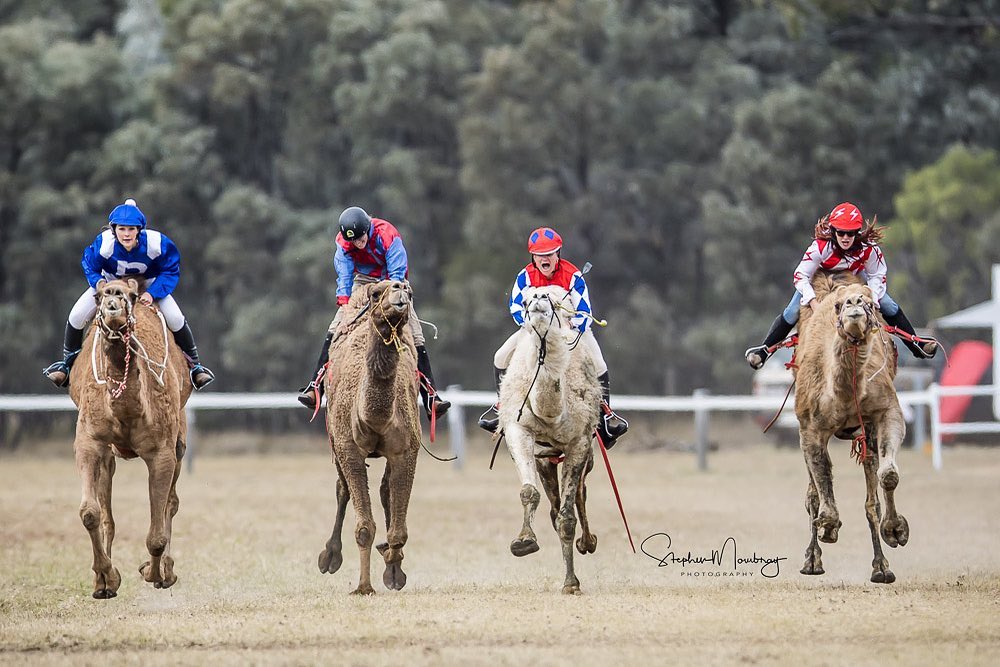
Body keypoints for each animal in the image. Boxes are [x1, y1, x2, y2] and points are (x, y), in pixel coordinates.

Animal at [68, 278, 192, 598]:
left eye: (133, 296)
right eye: (99, 295)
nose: (113, 297)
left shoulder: (162, 450)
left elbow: (157, 530)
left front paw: (155, 573)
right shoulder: (89, 441)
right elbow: (89, 512)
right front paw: (104, 579)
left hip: (180, 440)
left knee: (171, 502)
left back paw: (165, 570)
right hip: (108, 455)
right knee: (106, 510)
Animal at [316, 280, 422, 595]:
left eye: (410, 291)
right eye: (376, 294)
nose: (400, 290)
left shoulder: (405, 450)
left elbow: (398, 530)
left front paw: (392, 564)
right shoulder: (348, 448)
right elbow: (364, 528)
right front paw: (363, 587)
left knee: (385, 491)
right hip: (334, 440)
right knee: (342, 488)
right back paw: (330, 557)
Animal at [497, 285, 603, 594]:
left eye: (555, 302)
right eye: (524, 299)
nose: (537, 300)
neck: (551, 413)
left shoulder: (579, 441)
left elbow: (567, 517)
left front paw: (571, 584)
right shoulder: (518, 430)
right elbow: (529, 493)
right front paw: (523, 541)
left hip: (587, 453)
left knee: (579, 494)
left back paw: (588, 542)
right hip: (546, 459)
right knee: (554, 504)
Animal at [793, 271, 909, 583]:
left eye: (870, 302)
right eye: (838, 306)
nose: (854, 304)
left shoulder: (886, 411)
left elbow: (888, 476)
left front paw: (896, 530)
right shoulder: (809, 427)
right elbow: (820, 490)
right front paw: (828, 527)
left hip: (866, 431)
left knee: (872, 496)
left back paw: (882, 568)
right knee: (811, 494)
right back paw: (812, 561)